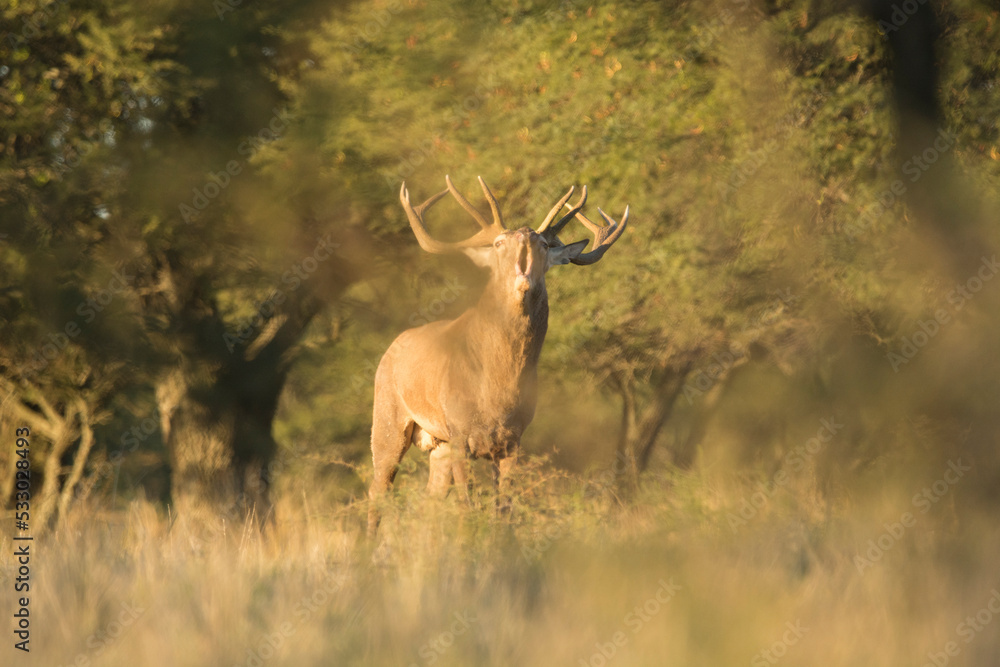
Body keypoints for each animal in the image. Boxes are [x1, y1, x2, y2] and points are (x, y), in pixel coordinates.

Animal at [367, 175, 628, 537]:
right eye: (498, 244)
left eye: (543, 244)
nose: (523, 270)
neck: (496, 388)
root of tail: (391, 348)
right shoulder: (460, 432)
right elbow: (467, 507)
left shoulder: (513, 439)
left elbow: (504, 510)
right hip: (388, 418)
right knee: (378, 490)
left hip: (438, 444)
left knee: (430, 499)